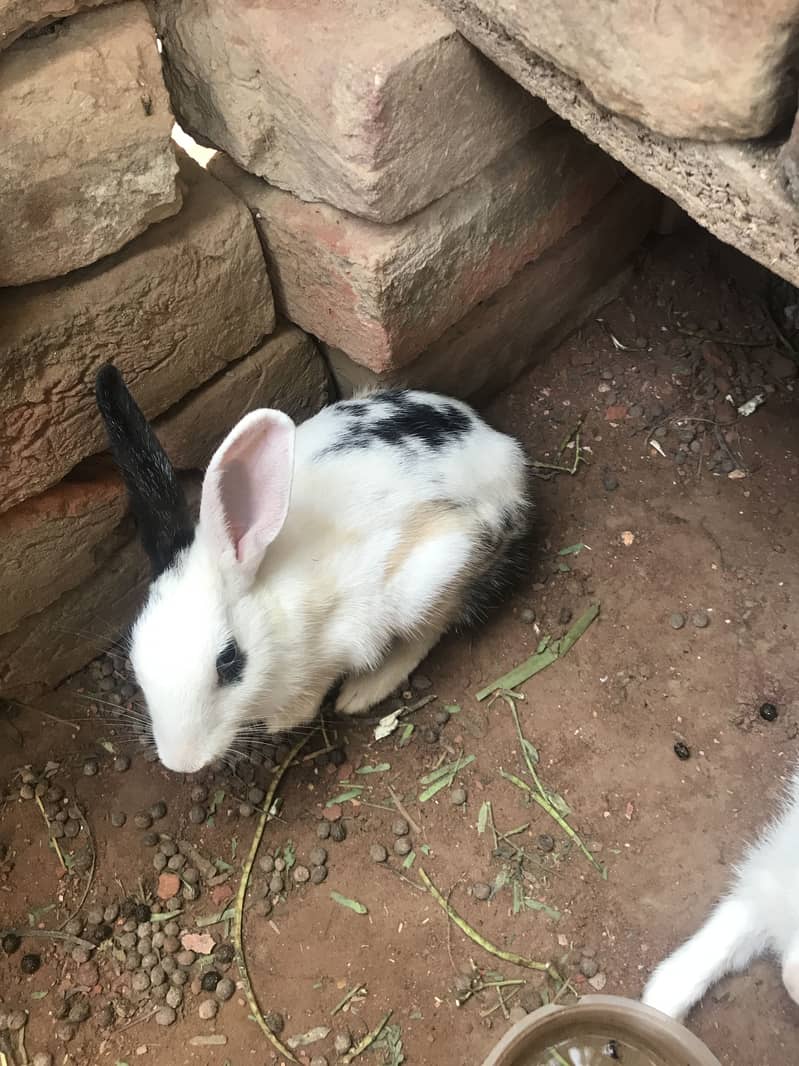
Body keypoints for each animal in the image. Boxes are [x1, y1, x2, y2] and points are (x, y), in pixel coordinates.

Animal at [95, 366, 531, 774]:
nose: (182, 762)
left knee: (429, 630)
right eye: (135, 656)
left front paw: (285, 720)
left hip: (435, 573)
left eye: (230, 661)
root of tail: (502, 450)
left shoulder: (342, 639)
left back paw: (361, 693)